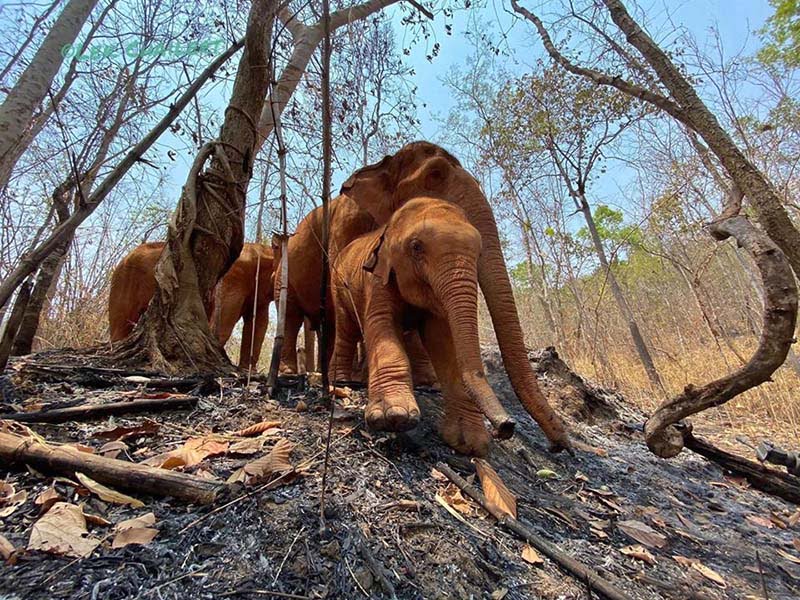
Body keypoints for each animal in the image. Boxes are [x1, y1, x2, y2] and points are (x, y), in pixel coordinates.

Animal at [108, 241, 276, 369]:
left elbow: (258, 325)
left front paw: (247, 371)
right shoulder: (232, 281)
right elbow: (224, 324)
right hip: (123, 280)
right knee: (120, 323)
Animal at [331, 197, 515, 456]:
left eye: (479, 253)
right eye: (416, 247)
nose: (507, 427)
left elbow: (443, 340)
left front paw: (470, 443)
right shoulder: (377, 278)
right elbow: (381, 322)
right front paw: (394, 417)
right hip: (338, 286)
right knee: (346, 328)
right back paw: (344, 382)